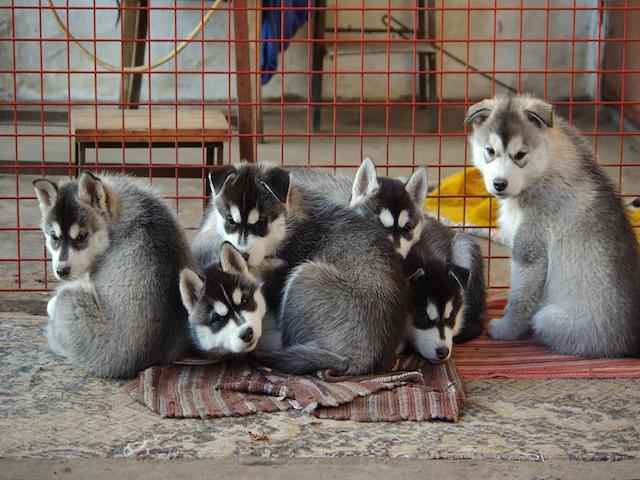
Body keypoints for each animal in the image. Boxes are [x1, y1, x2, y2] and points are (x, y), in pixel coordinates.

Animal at [33, 172, 192, 378]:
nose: (61, 271)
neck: (115, 217)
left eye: (82, 236)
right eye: (54, 237)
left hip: (69, 302)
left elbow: (51, 304)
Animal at [464, 94, 640, 356]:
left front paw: (506, 329)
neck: (545, 168)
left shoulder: (531, 249)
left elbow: (520, 297)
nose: (499, 184)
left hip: (550, 318)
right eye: (490, 151)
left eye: (520, 155)